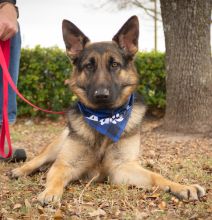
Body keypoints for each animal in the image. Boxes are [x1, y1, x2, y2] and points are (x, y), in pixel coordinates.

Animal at [10, 15, 205, 205]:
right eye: (89, 65)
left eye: (115, 65)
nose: (101, 95)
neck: (105, 118)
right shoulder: (65, 164)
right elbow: (56, 178)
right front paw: (50, 192)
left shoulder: (122, 168)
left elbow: (156, 176)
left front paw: (181, 186)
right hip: (55, 147)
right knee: (38, 160)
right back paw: (20, 170)